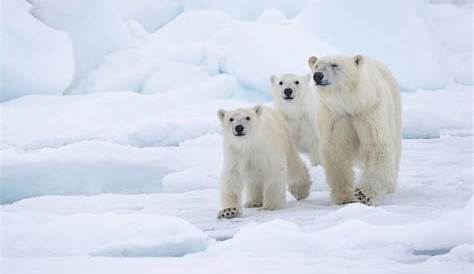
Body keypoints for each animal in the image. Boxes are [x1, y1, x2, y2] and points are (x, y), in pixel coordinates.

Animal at [308, 54, 400, 206]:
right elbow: (336, 152)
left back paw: (390, 186)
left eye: (334, 65)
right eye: (316, 65)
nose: (318, 75)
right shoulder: (335, 116)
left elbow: (377, 146)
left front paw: (364, 194)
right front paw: (344, 197)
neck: (352, 104)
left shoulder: (369, 112)